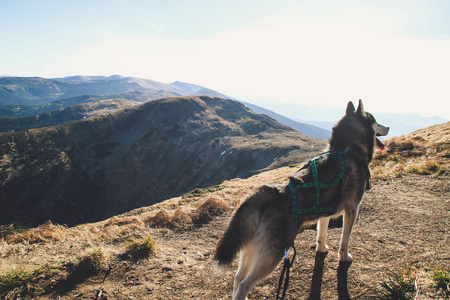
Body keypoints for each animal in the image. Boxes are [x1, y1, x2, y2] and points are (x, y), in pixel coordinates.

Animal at [214, 99, 386, 298]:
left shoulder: (326, 210)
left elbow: (321, 233)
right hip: (274, 253)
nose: (388, 127)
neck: (347, 147)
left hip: (251, 247)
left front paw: (322, 248)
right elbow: (345, 240)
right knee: (244, 284)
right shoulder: (352, 209)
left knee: (237, 278)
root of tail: (273, 192)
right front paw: (344, 256)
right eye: (377, 121)